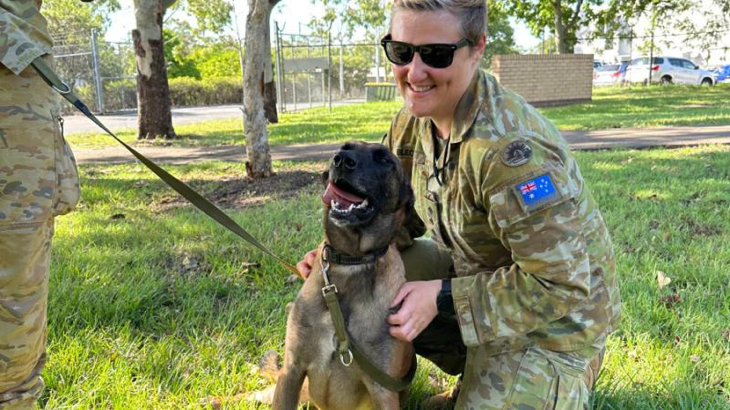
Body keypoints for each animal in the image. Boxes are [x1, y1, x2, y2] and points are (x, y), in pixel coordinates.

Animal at [270, 142, 424, 410]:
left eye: (384, 159)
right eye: (345, 147)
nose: (341, 160)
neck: (351, 261)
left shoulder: (383, 390)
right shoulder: (291, 371)